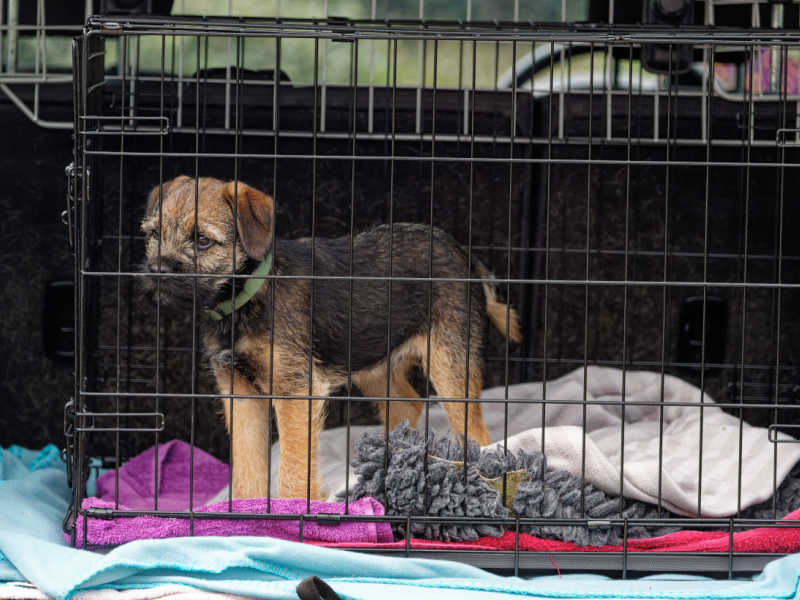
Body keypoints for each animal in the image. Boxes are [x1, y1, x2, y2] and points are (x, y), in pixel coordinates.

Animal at [141, 176, 520, 500]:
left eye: (202, 240)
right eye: (154, 233)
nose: (156, 271)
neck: (249, 295)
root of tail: (464, 254)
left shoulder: (295, 392)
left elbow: (294, 468)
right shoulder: (239, 390)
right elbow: (248, 467)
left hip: (449, 361)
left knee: (476, 434)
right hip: (374, 365)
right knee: (407, 405)